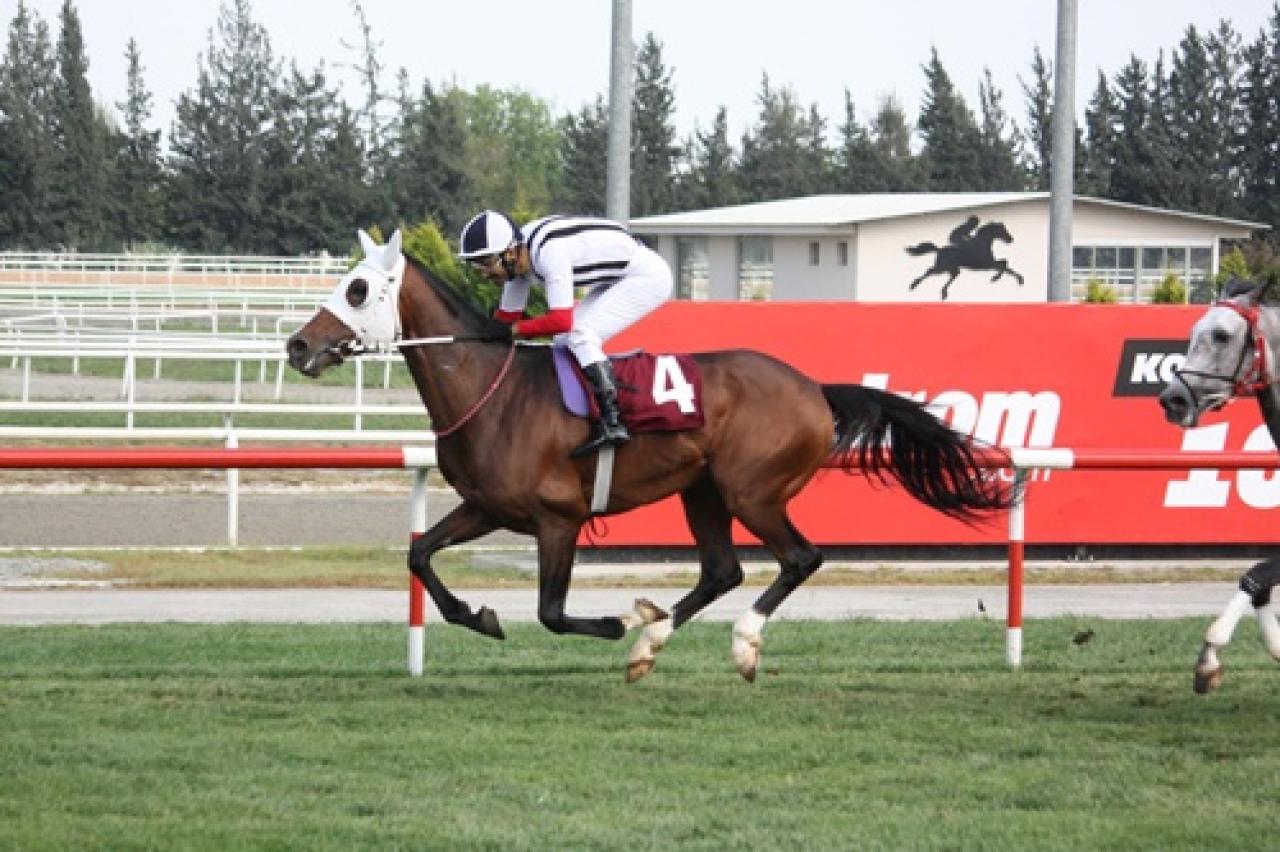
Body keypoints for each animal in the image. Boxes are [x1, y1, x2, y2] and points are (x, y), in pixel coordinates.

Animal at [288, 228, 1008, 680]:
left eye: (357, 290)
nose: (296, 346)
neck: (495, 391)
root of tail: (813, 387)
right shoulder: (488, 507)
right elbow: (419, 556)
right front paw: (480, 616)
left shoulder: (559, 518)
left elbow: (551, 613)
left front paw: (612, 622)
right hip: (703, 491)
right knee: (722, 571)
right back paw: (652, 641)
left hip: (752, 491)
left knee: (800, 558)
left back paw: (737, 644)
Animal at [1167, 277, 1280, 690]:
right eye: (1192, 332)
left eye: (1221, 335)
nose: (1172, 399)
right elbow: (1258, 579)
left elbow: (1256, 575)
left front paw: (1210, 653)